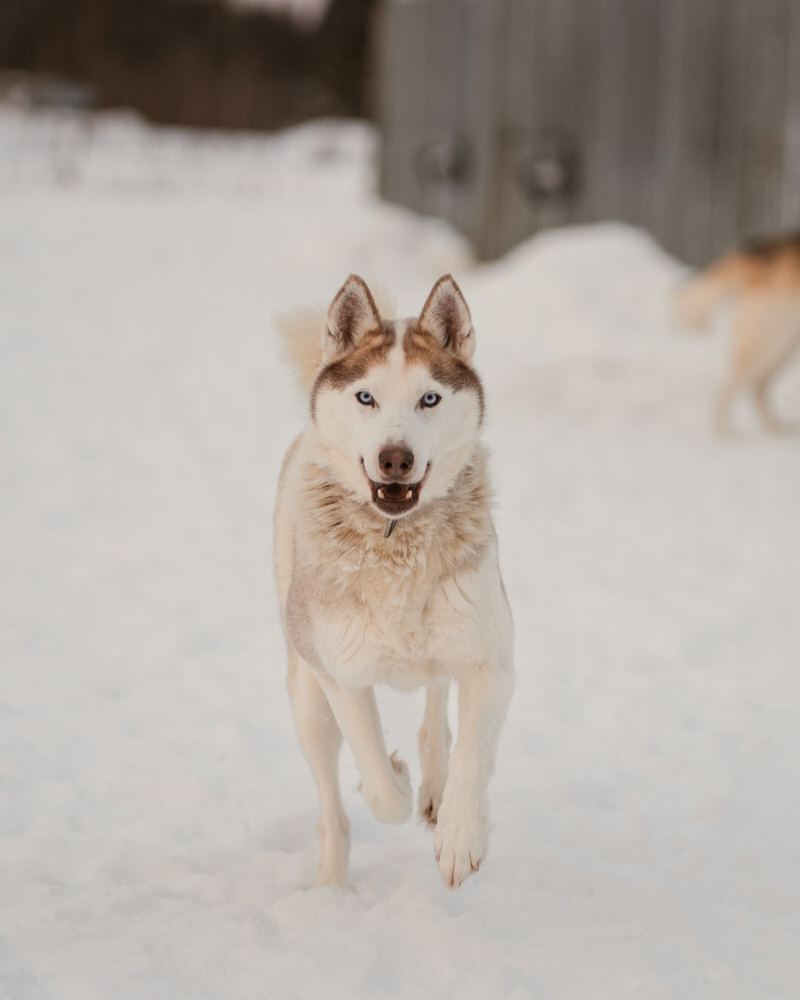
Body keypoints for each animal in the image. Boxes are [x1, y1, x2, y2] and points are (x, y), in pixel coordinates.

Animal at [274, 276, 512, 892]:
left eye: (429, 398)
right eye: (366, 398)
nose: (395, 459)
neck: (395, 544)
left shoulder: (491, 660)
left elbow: (473, 755)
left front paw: (460, 837)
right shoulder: (341, 676)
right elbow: (379, 788)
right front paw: (398, 781)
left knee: (436, 712)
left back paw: (435, 786)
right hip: (307, 700)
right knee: (333, 811)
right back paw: (332, 886)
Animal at [676, 238, 800, 438]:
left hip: (782, 348)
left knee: (758, 387)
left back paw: (775, 428)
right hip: (769, 345)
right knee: (728, 390)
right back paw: (725, 434)